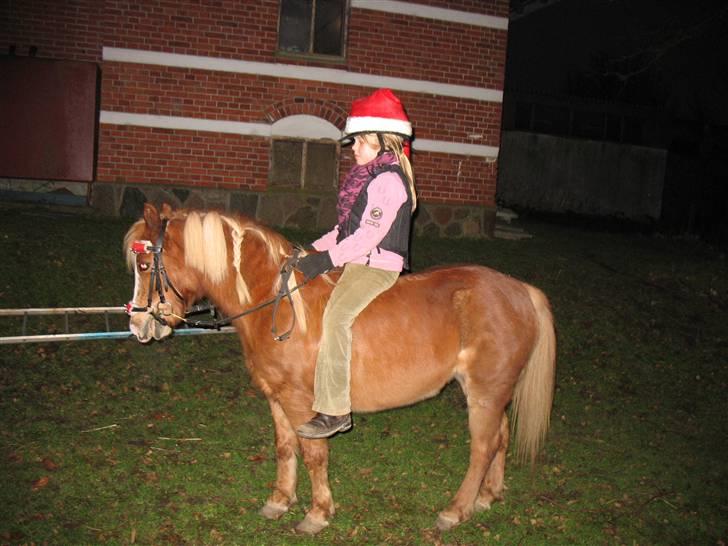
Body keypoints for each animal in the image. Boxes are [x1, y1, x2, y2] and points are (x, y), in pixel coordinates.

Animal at [124, 202, 556, 534]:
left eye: (145, 265)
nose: (138, 325)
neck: (275, 302)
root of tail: (520, 290)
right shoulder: (276, 398)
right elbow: (285, 448)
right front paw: (280, 500)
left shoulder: (301, 403)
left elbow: (314, 454)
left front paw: (317, 513)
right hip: (491, 392)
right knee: (501, 437)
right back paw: (487, 496)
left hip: (485, 392)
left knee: (482, 447)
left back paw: (456, 509)